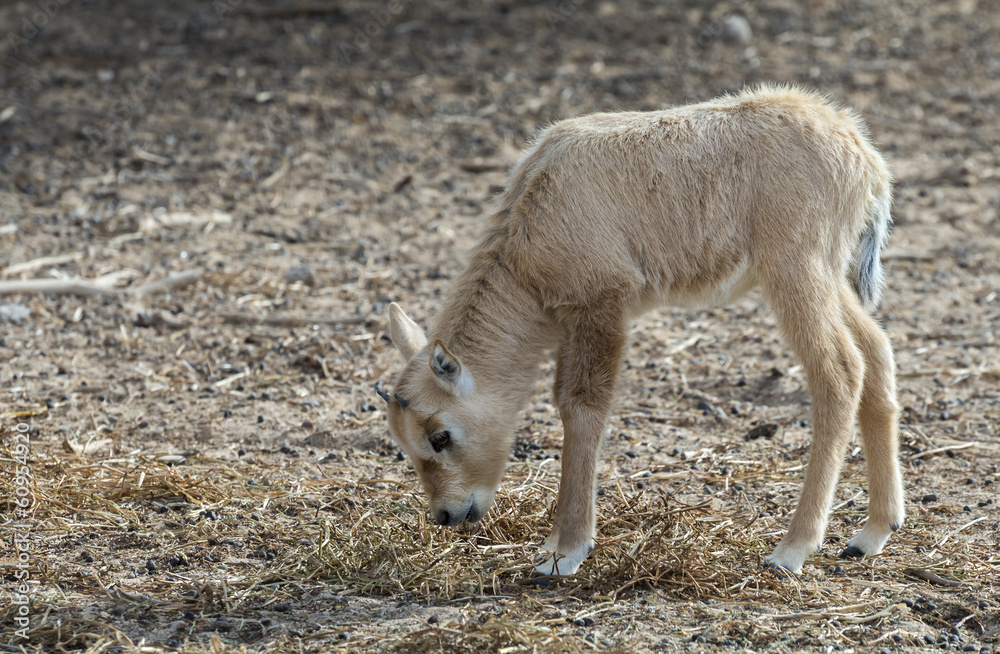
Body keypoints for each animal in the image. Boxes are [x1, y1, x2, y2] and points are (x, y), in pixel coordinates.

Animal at [379, 85, 904, 578]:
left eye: (440, 436)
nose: (447, 514)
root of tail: (862, 153)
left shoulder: (601, 305)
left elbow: (581, 408)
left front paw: (564, 554)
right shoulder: (573, 321)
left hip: (796, 269)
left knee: (840, 371)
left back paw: (792, 549)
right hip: (828, 275)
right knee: (876, 350)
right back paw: (872, 533)